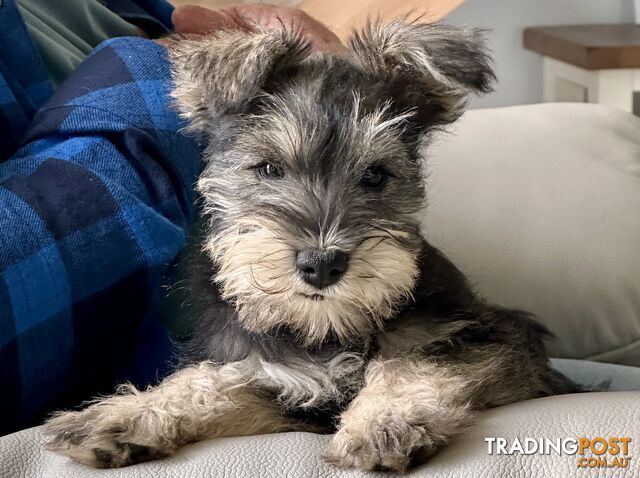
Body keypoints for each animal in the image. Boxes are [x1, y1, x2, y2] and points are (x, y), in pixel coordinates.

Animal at [43, 19, 576, 470]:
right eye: (268, 168)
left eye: (376, 175)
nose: (322, 264)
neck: (324, 333)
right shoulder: (279, 384)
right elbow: (211, 381)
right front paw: (127, 414)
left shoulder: (500, 343)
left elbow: (409, 360)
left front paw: (382, 424)